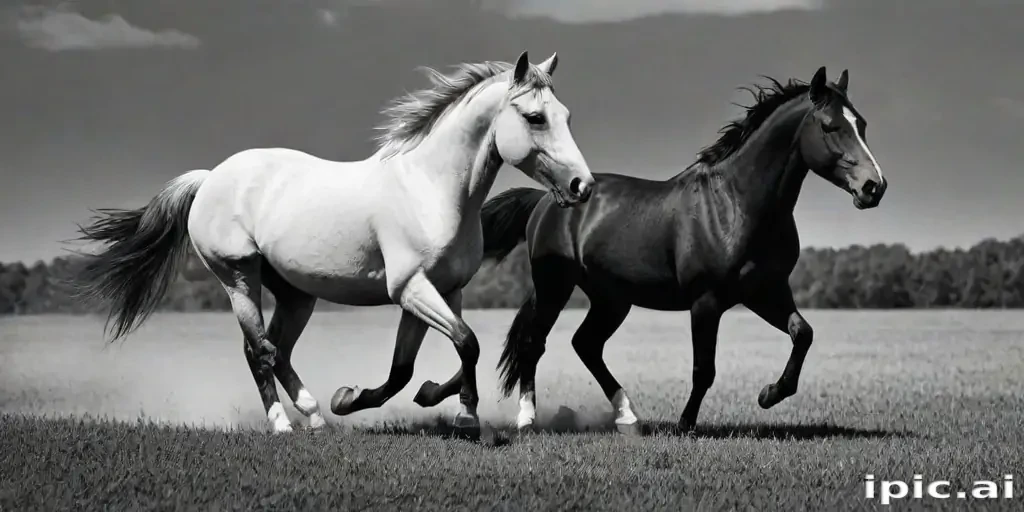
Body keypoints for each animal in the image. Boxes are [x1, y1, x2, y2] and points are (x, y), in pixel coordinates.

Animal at [72, 50, 595, 438]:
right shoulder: (411, 289)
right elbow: (466, 344)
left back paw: (317, 415)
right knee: (258, 351)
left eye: (567, 116)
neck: (430, 188)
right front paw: (464, 417)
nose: (582, 187)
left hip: (296, 293)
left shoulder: (445, 290)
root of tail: (208, 179)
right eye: (535, 117)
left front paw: (374, 398)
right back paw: (283, 425)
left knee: (279, 350)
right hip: (238, 277)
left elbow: (417, 366)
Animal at [473, 66, 887, 434]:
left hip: (611, 299)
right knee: (535, 344)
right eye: (830, 126)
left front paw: (769, 394)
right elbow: (704, 368)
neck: (737, 204)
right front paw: (686, 424)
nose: (874, 187)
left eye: (863, 124)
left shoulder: (765, 291)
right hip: (555, 287)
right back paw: (527, 420)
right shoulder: (706, 301)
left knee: (585, 344)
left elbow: (803, 333)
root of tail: (545, 200)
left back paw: (628, 417)